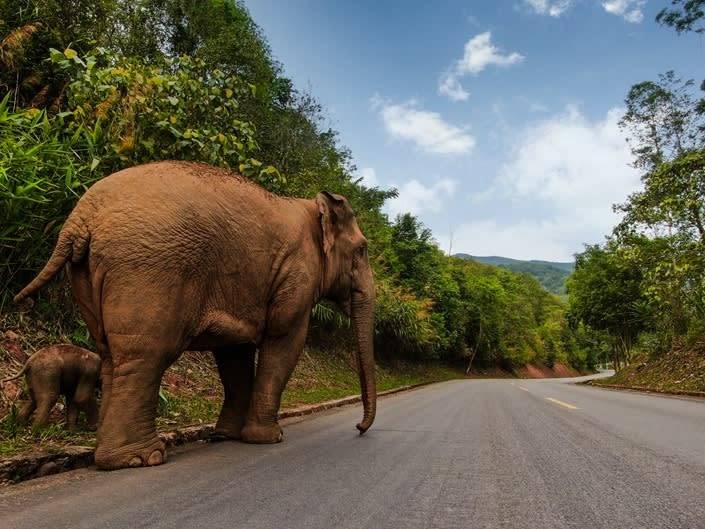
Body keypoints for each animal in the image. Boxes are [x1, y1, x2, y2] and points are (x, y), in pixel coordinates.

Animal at [13, 160, 376, 466]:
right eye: (362, 249)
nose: (359, 427)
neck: (311, 205)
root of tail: (80, 218)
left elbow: (234, 354)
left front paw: (226, 436)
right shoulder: (296, 274)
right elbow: (284, 341)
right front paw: (270, 438)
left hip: (86, 275)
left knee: (110, 355)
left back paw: (113, 452)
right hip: (149, 270)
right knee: (145, 355)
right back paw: (140, 458)